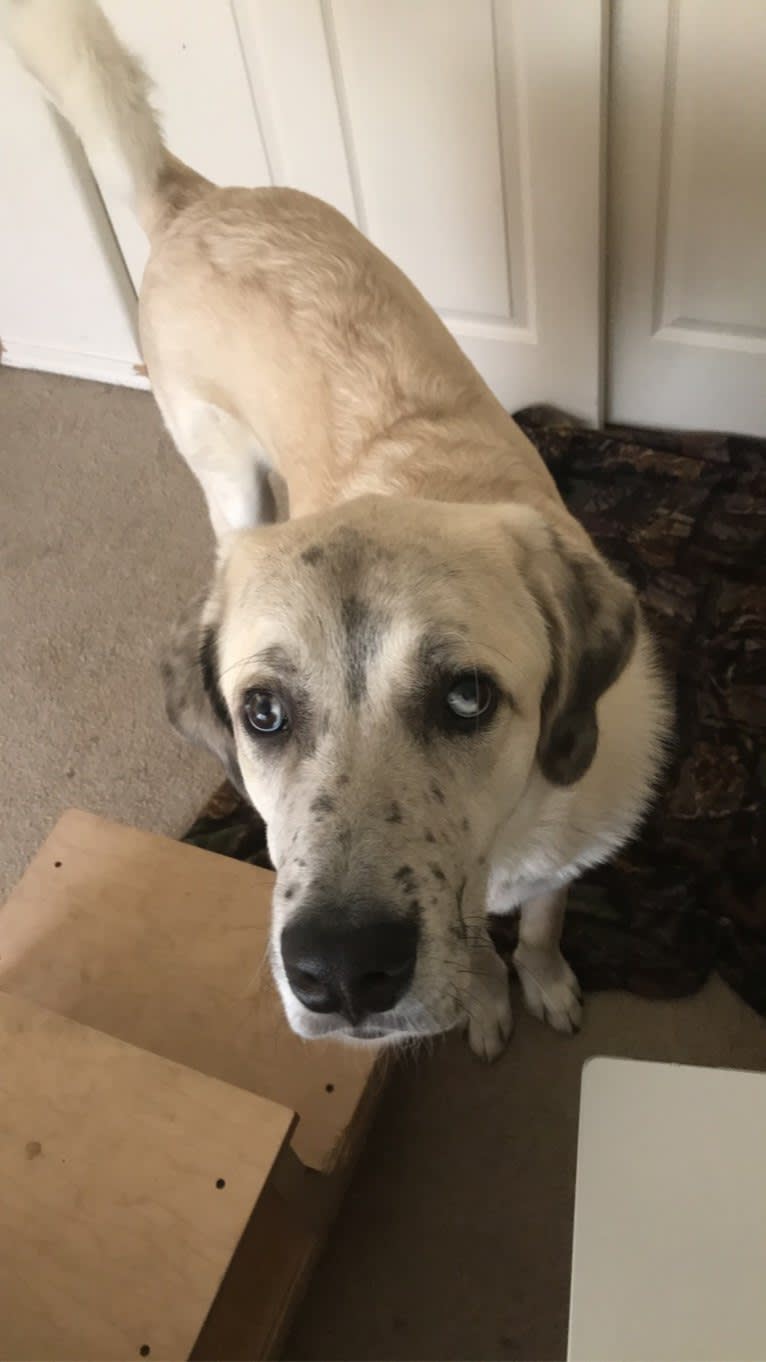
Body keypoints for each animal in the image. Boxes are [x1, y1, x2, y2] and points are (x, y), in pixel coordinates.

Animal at [2, 0, 665, 1056]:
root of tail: (194, 199)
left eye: (469, 698)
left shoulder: (565, 840)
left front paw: (548, 979)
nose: (341, 972)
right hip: (225, 472)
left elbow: (545, 916)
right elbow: (483, 949)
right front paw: (491, 998)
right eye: (262, 714)